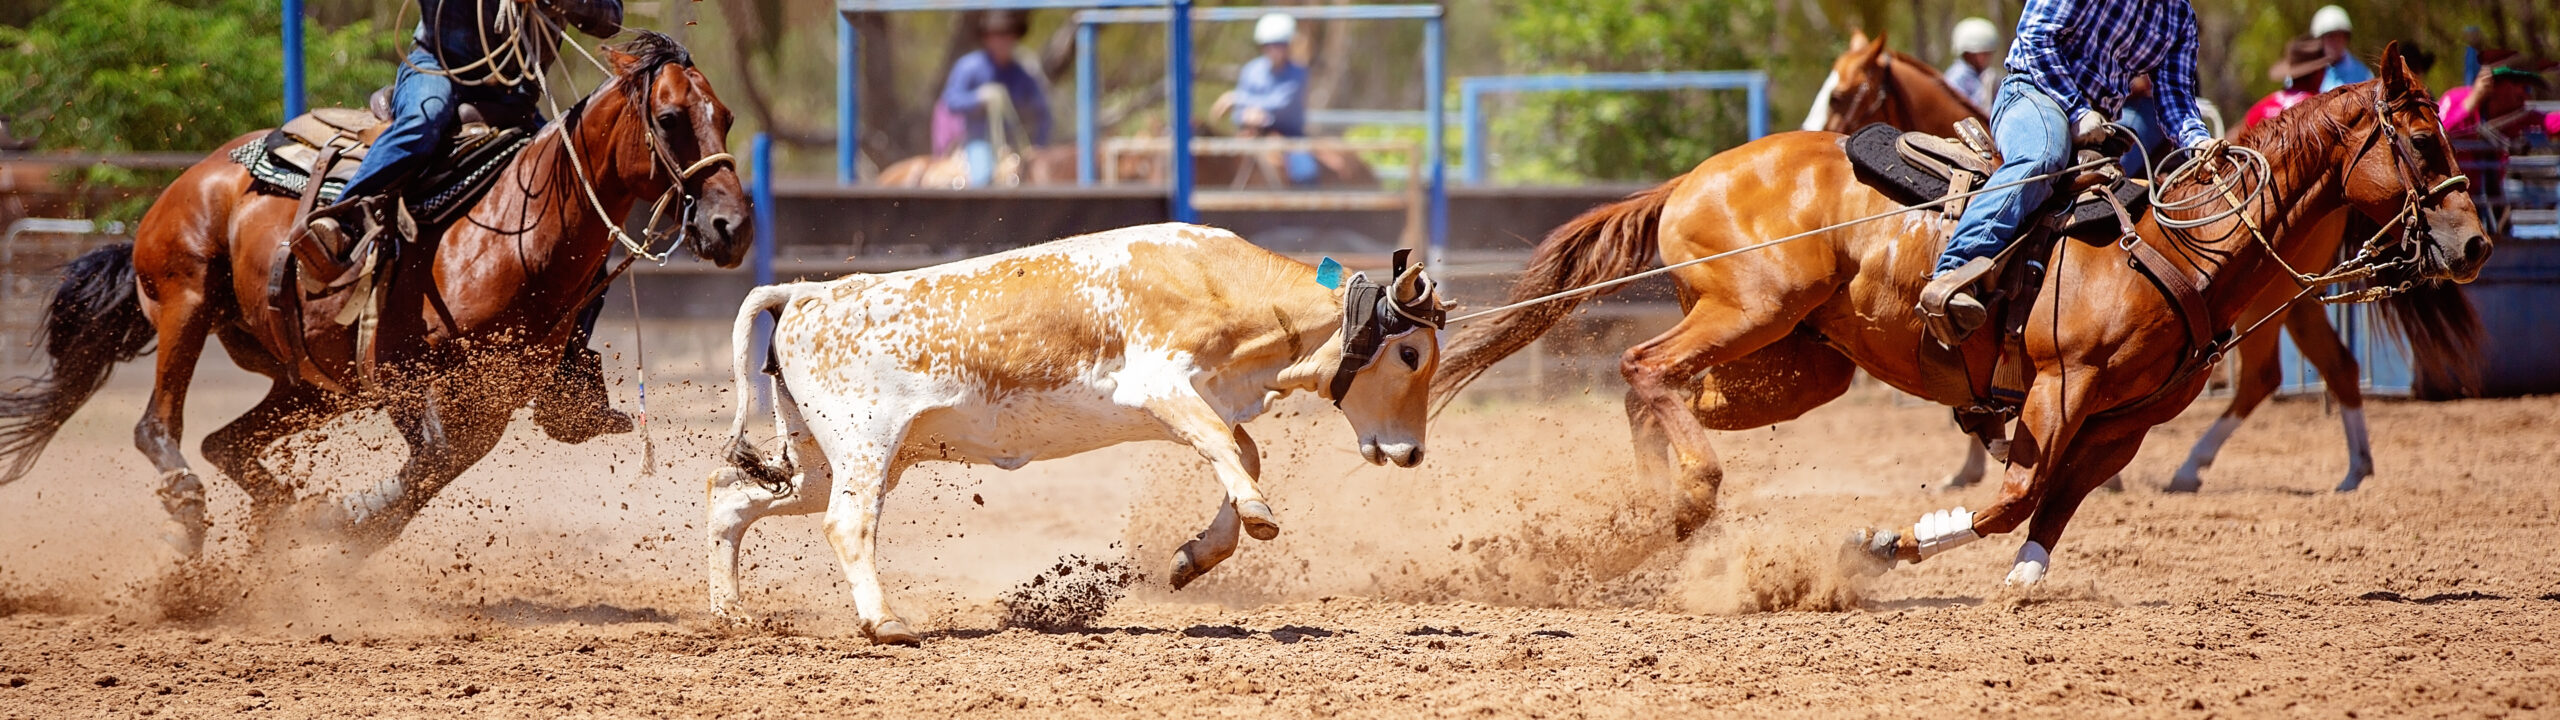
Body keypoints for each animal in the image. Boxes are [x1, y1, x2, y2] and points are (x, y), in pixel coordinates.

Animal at [0, 32, 752, 561]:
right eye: (670, 117)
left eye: (725, 116)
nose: (732, 227)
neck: (518, 231)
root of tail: (195, 177)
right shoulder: (405, 376)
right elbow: (430, 465)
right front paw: (339, 526)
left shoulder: (489, 403)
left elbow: (432, 472)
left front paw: (334, 528)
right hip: (186, 300)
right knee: (158, 427)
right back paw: (191, 512)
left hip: (312, 384)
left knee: (224, 443)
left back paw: (279, 516)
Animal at [711, 221, 1454, 640]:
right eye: (1411, 354)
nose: (1413, 452)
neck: (1217, 284)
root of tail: (810, 292)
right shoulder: (1159, 384)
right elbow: (1228, 448)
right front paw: (1258, 516)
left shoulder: (1186, 403)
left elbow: (1240, 451)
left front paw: (1198, 554)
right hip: (864, 447)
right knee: (847, 523)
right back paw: (884, 622)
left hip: (823, 459)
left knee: (730, 498)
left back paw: (731, 614)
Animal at [1454, 46, 2488, 584]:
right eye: (2422, 139)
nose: (2475, 242)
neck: (2181, 245)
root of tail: (1690, 179)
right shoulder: (2061, 388)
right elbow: (2015, 494)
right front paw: (1884, 542)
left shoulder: (2123, 421)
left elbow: (2048, 506)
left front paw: (2016, 582)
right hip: (1751, 310)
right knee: (1646, 369)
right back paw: (1685, 498)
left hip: (1803, 361)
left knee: (1663, 387)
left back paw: (1649, 516)